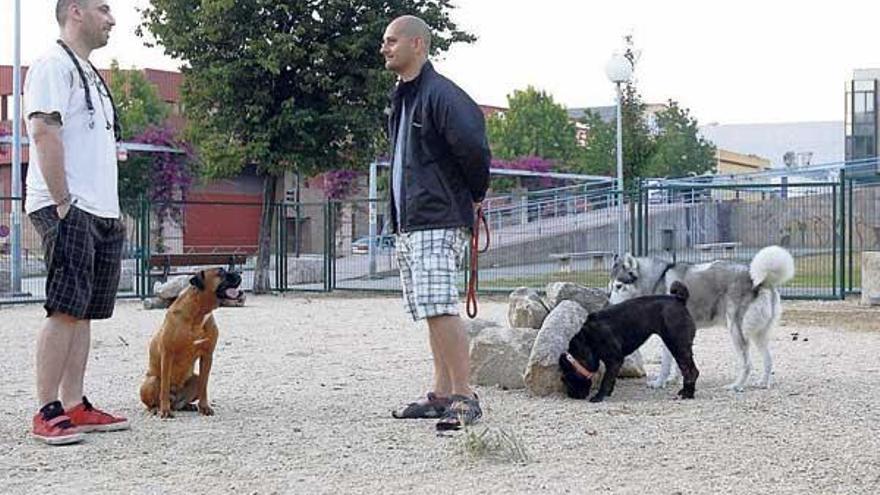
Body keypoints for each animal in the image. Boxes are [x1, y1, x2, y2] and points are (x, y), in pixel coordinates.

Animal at [142, 268, 244, 418]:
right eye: (221, 272)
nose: (239, 272)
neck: (198, 313)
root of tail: (175, 398)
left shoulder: (207, 355)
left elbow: (204, 384)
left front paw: (204, 407)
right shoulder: (167, 355)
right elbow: (164, 387)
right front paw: (165, 410)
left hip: (194, 379)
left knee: (187, 395)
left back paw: (188, 406)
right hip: (152, 381)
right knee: (153, 400)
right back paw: (157, 408)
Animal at [560, 282, 696, 404]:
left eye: (566, 379)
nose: (571, 395)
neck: (587, 339)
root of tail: (678, 299)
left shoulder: (615, 359)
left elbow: (606, 380)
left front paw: (599, 396)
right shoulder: (613, 363)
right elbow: (611, 377)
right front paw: (608, 392)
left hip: (677, 346)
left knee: (691, 372)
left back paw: (687, 394)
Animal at [608, 246, 796, 394]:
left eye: (619, 286)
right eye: (610, 287)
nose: (608, 306)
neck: (656, 280)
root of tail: (760, 280)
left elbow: (666, 364)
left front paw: (659, 382)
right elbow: (677, 361)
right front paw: (674, 379)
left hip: (736, 332)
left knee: (747, 364)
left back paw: (736, 386)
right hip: (758, 334)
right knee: (768, 359)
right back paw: (763, 383)